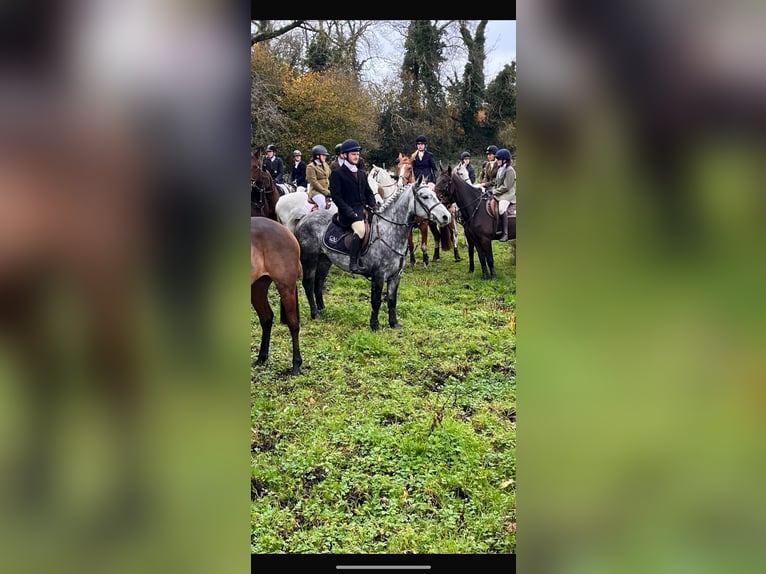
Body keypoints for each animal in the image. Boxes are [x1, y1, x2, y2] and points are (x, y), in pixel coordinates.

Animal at [250, 218, 302, 376]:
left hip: (286, 288)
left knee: (293, 324)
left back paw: (296, 365)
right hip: (257, 287)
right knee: (266, 318)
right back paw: (261, 358)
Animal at [292, 182, 450, 330]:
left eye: (435, 194)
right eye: (425, 196)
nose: (446, 217)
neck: (390, 230)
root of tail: (304, 219)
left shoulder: (396, 275)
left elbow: (392, 300)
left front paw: (394, 324)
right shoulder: (379, 275)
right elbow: (376, 301)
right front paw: (374, 325)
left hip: (325, 260)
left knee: (319, 283)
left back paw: (323, 310)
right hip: (310, 260)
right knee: (308, 284)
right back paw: (315, 314)